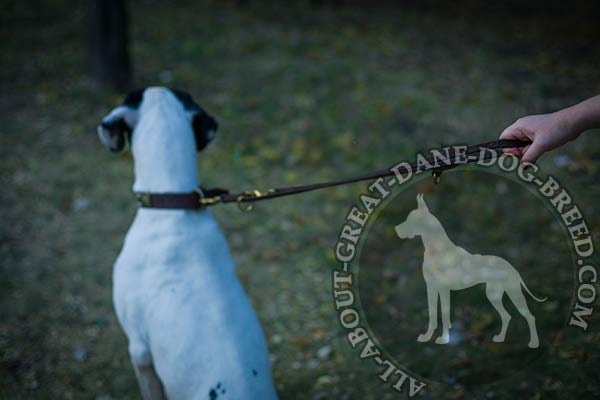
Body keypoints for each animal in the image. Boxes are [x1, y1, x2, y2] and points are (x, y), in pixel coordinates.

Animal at [396, 195, 548, 348]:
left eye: (410, 220)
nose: (396, 229)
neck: (437, 249)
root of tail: (512, 267)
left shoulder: (444, 289)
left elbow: (444, 316)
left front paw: (444, 339)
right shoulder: (431, 288)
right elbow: (432, 315)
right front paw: (427, 337)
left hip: (513, 293)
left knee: (529, 316)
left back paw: (533, 343)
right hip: (493, 294)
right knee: (506, 316)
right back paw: (500, 338)